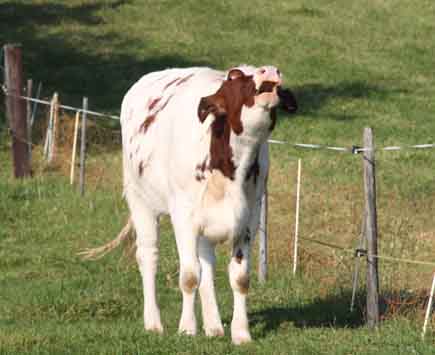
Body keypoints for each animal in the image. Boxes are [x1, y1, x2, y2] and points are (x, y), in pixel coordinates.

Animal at [80, 64, 298, 344]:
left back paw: (214, 327)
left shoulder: (249, 216)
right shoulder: (182, 215)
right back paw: (153, 322)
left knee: (207, 262)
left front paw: (241, 333)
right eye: (236, 79)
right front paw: (186, 328)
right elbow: (190, 275)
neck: (230, 168)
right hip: (140, 200)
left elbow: (239, 278)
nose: (269, 69)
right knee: (148, 257)